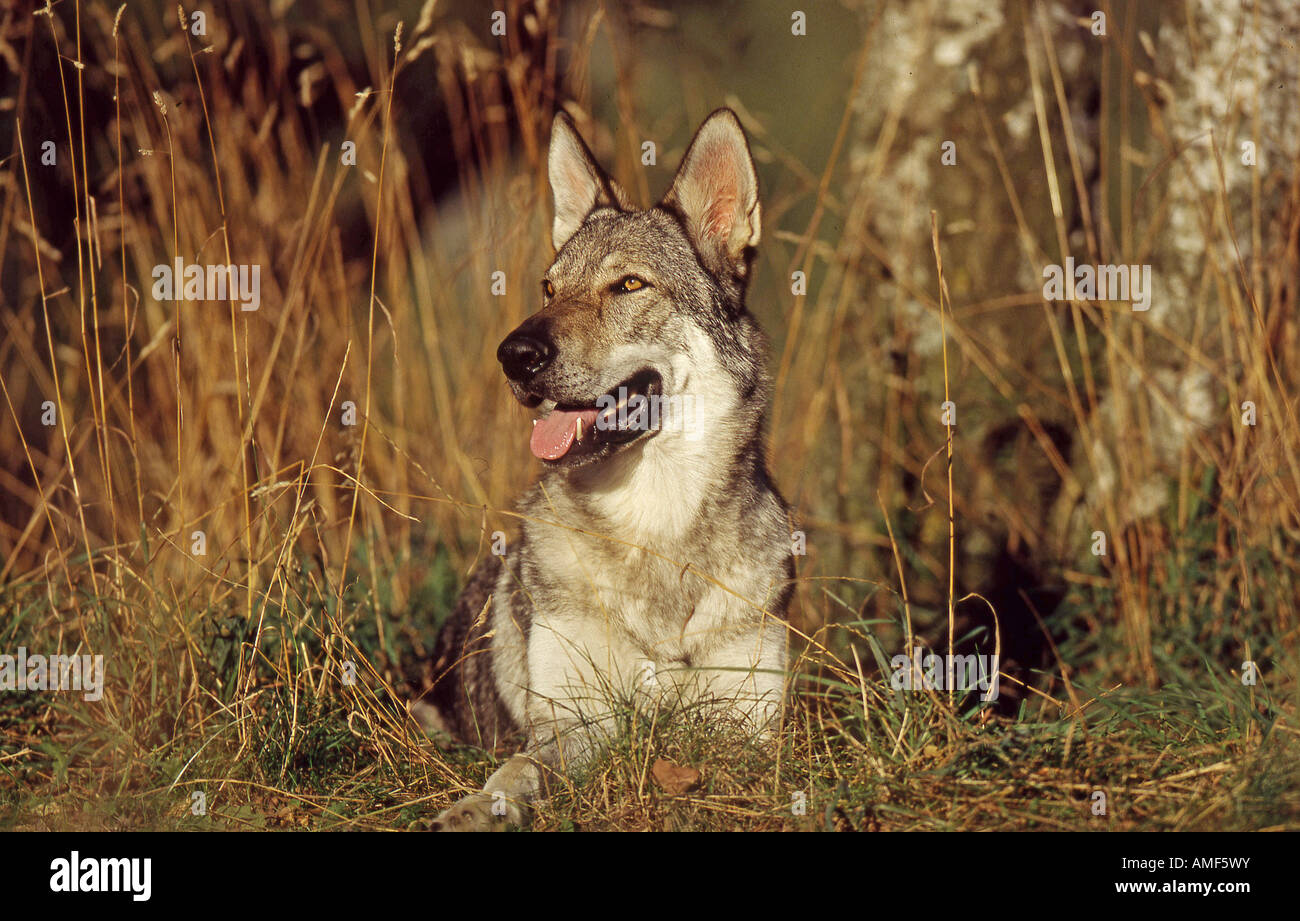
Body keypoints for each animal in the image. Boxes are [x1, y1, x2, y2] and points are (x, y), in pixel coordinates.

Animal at [423, 109, 790, 832]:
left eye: (627, 285)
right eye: (548, 288)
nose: (514, 354)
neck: (656, 523)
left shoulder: (750, 729)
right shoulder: (573, 724)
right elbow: (517, 771)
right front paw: (477, 806)